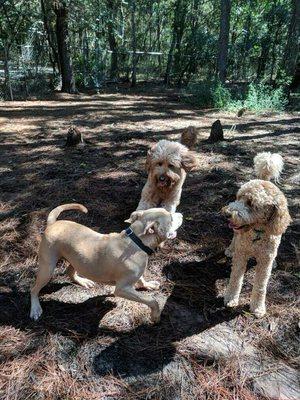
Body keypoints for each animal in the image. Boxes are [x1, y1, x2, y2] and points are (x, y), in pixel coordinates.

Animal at [29, 205, 183, 324]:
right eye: (171, 218)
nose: (181, 214)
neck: (136, 241)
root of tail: (52, 223)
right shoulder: (122, 289)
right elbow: (151, 300)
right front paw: (155, 316)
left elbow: (142, 279)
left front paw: (148, 285)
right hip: (47, 268)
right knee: (34, 289)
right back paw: (35, 308)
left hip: (76, 258)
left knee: (70, 271)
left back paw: (83, 281)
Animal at [221, 153, 290, 318]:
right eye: (238, 197)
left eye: (251, 203)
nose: (227, 214)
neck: (257, 233)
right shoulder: (242, 254)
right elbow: (235, 278)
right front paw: (231, 298)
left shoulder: (265, 261)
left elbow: (260, 286)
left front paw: (258, 308)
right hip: (236, 235)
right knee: (234, 237)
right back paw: (230, 250)